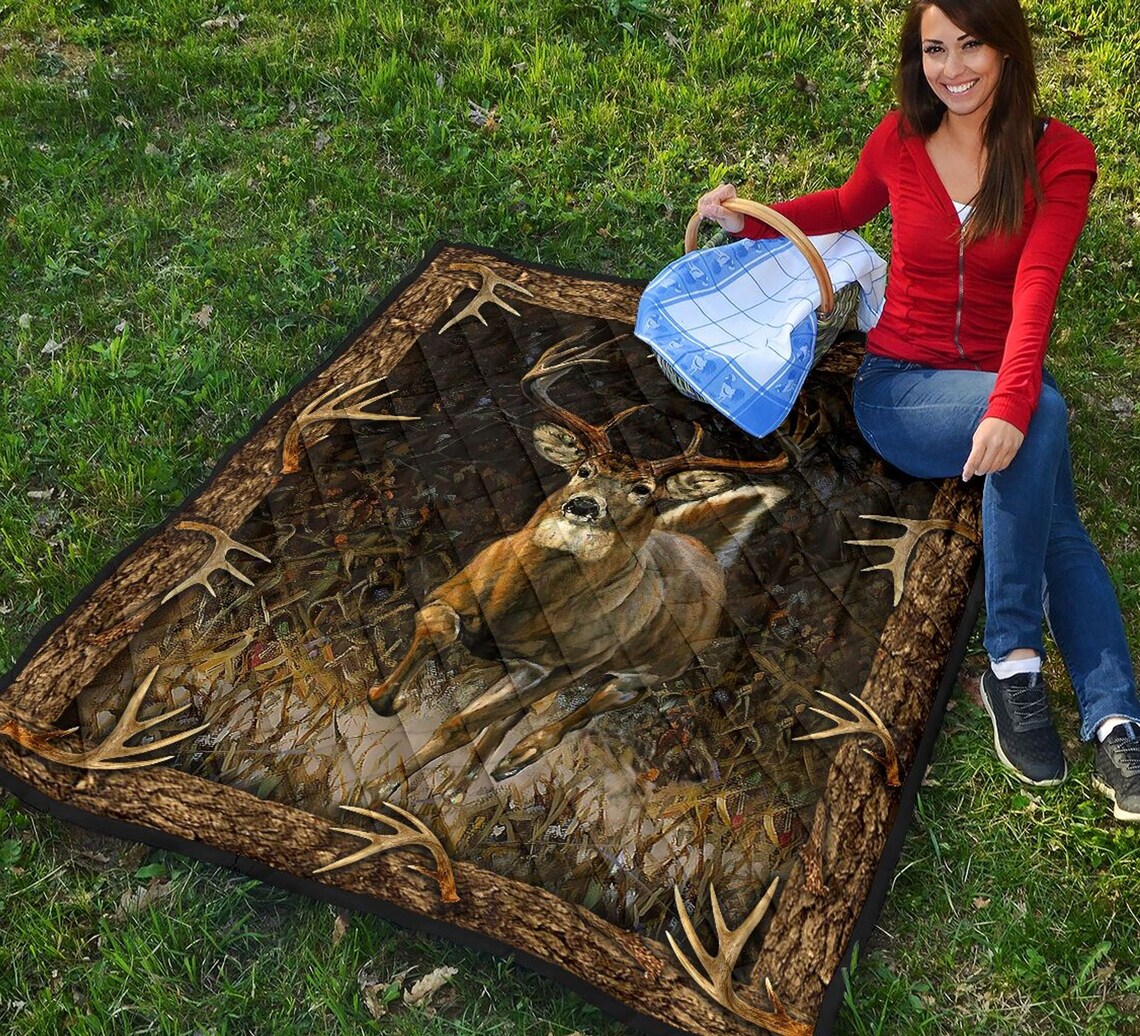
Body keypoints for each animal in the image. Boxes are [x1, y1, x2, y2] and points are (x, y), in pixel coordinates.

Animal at [367, 331, 791, 798]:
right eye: (584, 468)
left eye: (643, 489)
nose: (585, 505)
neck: (517, 610)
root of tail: (704, 551)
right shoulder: (455, 593)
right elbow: (436, 636)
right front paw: (384, 732)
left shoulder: (568, 666)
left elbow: (461, 724)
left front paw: (382, 788)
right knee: (506, 719)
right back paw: (469, 780)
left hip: (653, 669)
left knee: (598, 703)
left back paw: (520, 755)